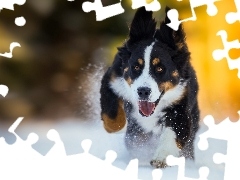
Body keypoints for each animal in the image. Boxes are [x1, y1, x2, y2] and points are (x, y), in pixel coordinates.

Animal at [100, 6, 200, 167]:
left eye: (160, 68)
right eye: (136, 67)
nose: (143, 92)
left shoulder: (180, 105)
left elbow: (173, 133)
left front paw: (161, 158)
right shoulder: (112, 79)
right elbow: (112, 115)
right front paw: (117, 128)